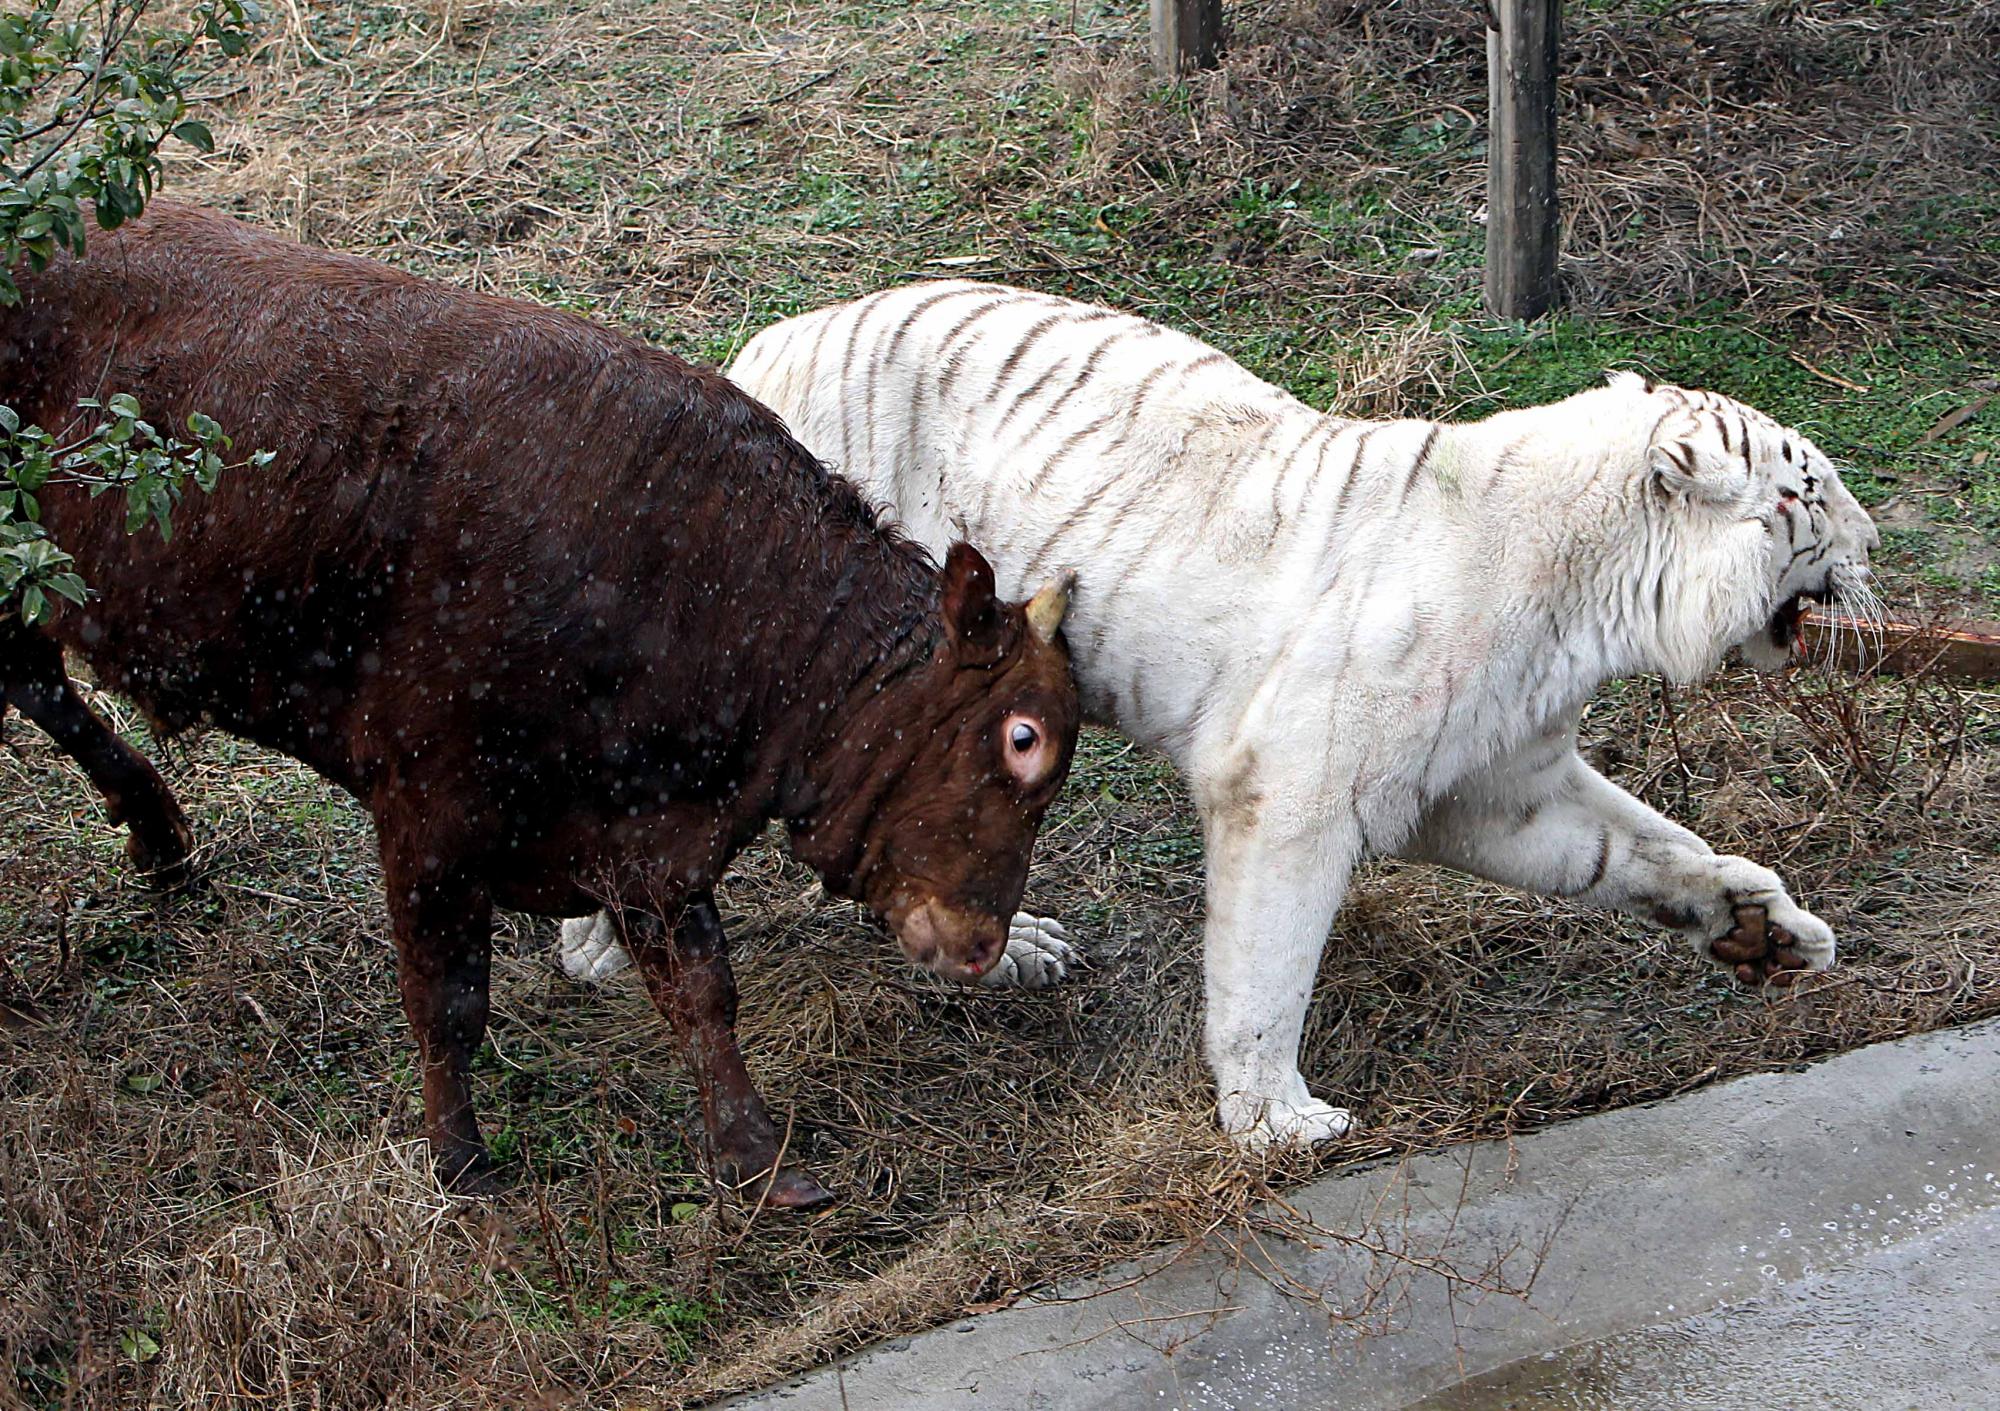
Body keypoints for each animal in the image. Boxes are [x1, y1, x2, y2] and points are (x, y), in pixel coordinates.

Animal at [0, 203, 1080, 1207]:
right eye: (1019, 737)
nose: (982, 941)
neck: (689, 576)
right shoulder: (427, 811)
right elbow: (448, 1001)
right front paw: (460, 1160)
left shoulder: (644, 836)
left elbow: (701, 990)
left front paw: (758, 1158)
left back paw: (159, 835)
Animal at [560, 279, 1872, 1151]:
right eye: (1808, 492)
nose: (1873, 545)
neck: (1591, 598)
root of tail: (753, 353)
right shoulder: (1291, 785)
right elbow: (1266, 964)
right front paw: (1274, 1117)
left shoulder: (1494, 782)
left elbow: (1644, 846)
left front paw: (1760, 927)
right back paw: (598, 951)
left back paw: (1016, 949)